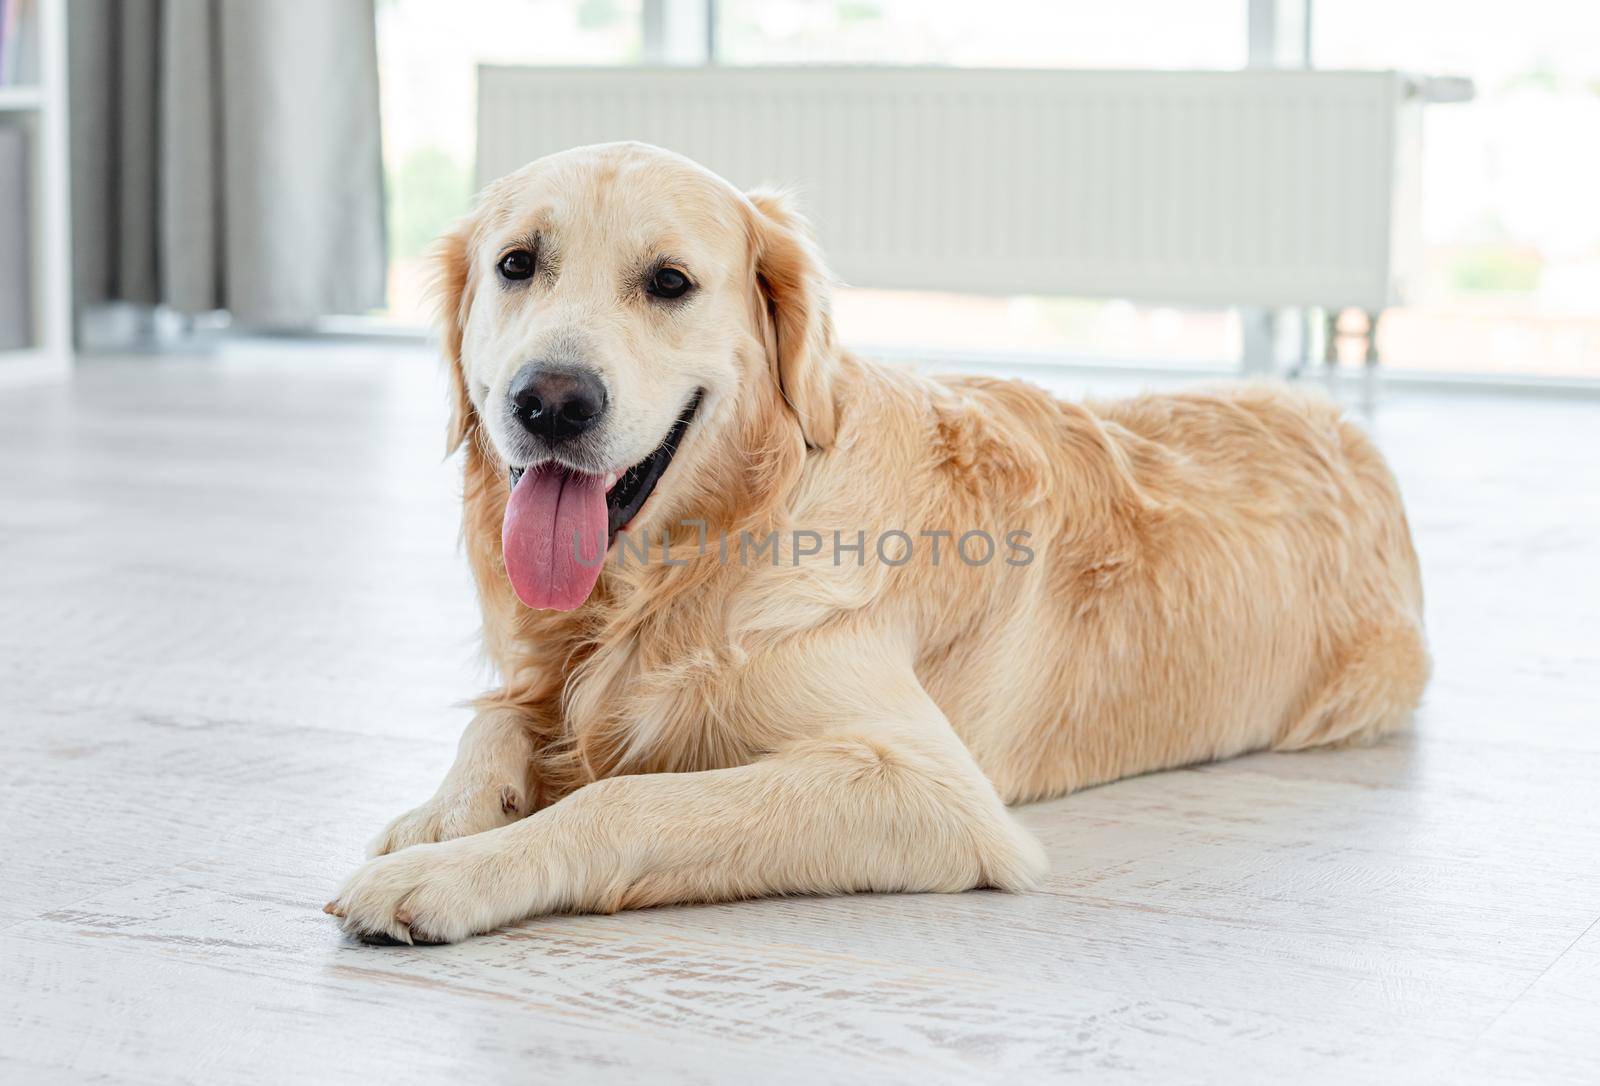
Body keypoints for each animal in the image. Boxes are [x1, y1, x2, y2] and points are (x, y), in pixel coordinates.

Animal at [324, 142, 1427, 940]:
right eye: (517, 265)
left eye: (669, 282)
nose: (549, 401)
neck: (699, 559)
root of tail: (1350, 433)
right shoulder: (545, 672)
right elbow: (496, 720)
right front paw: (441, 815)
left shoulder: (928, 791)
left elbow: (624, 803)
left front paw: (443, 873)